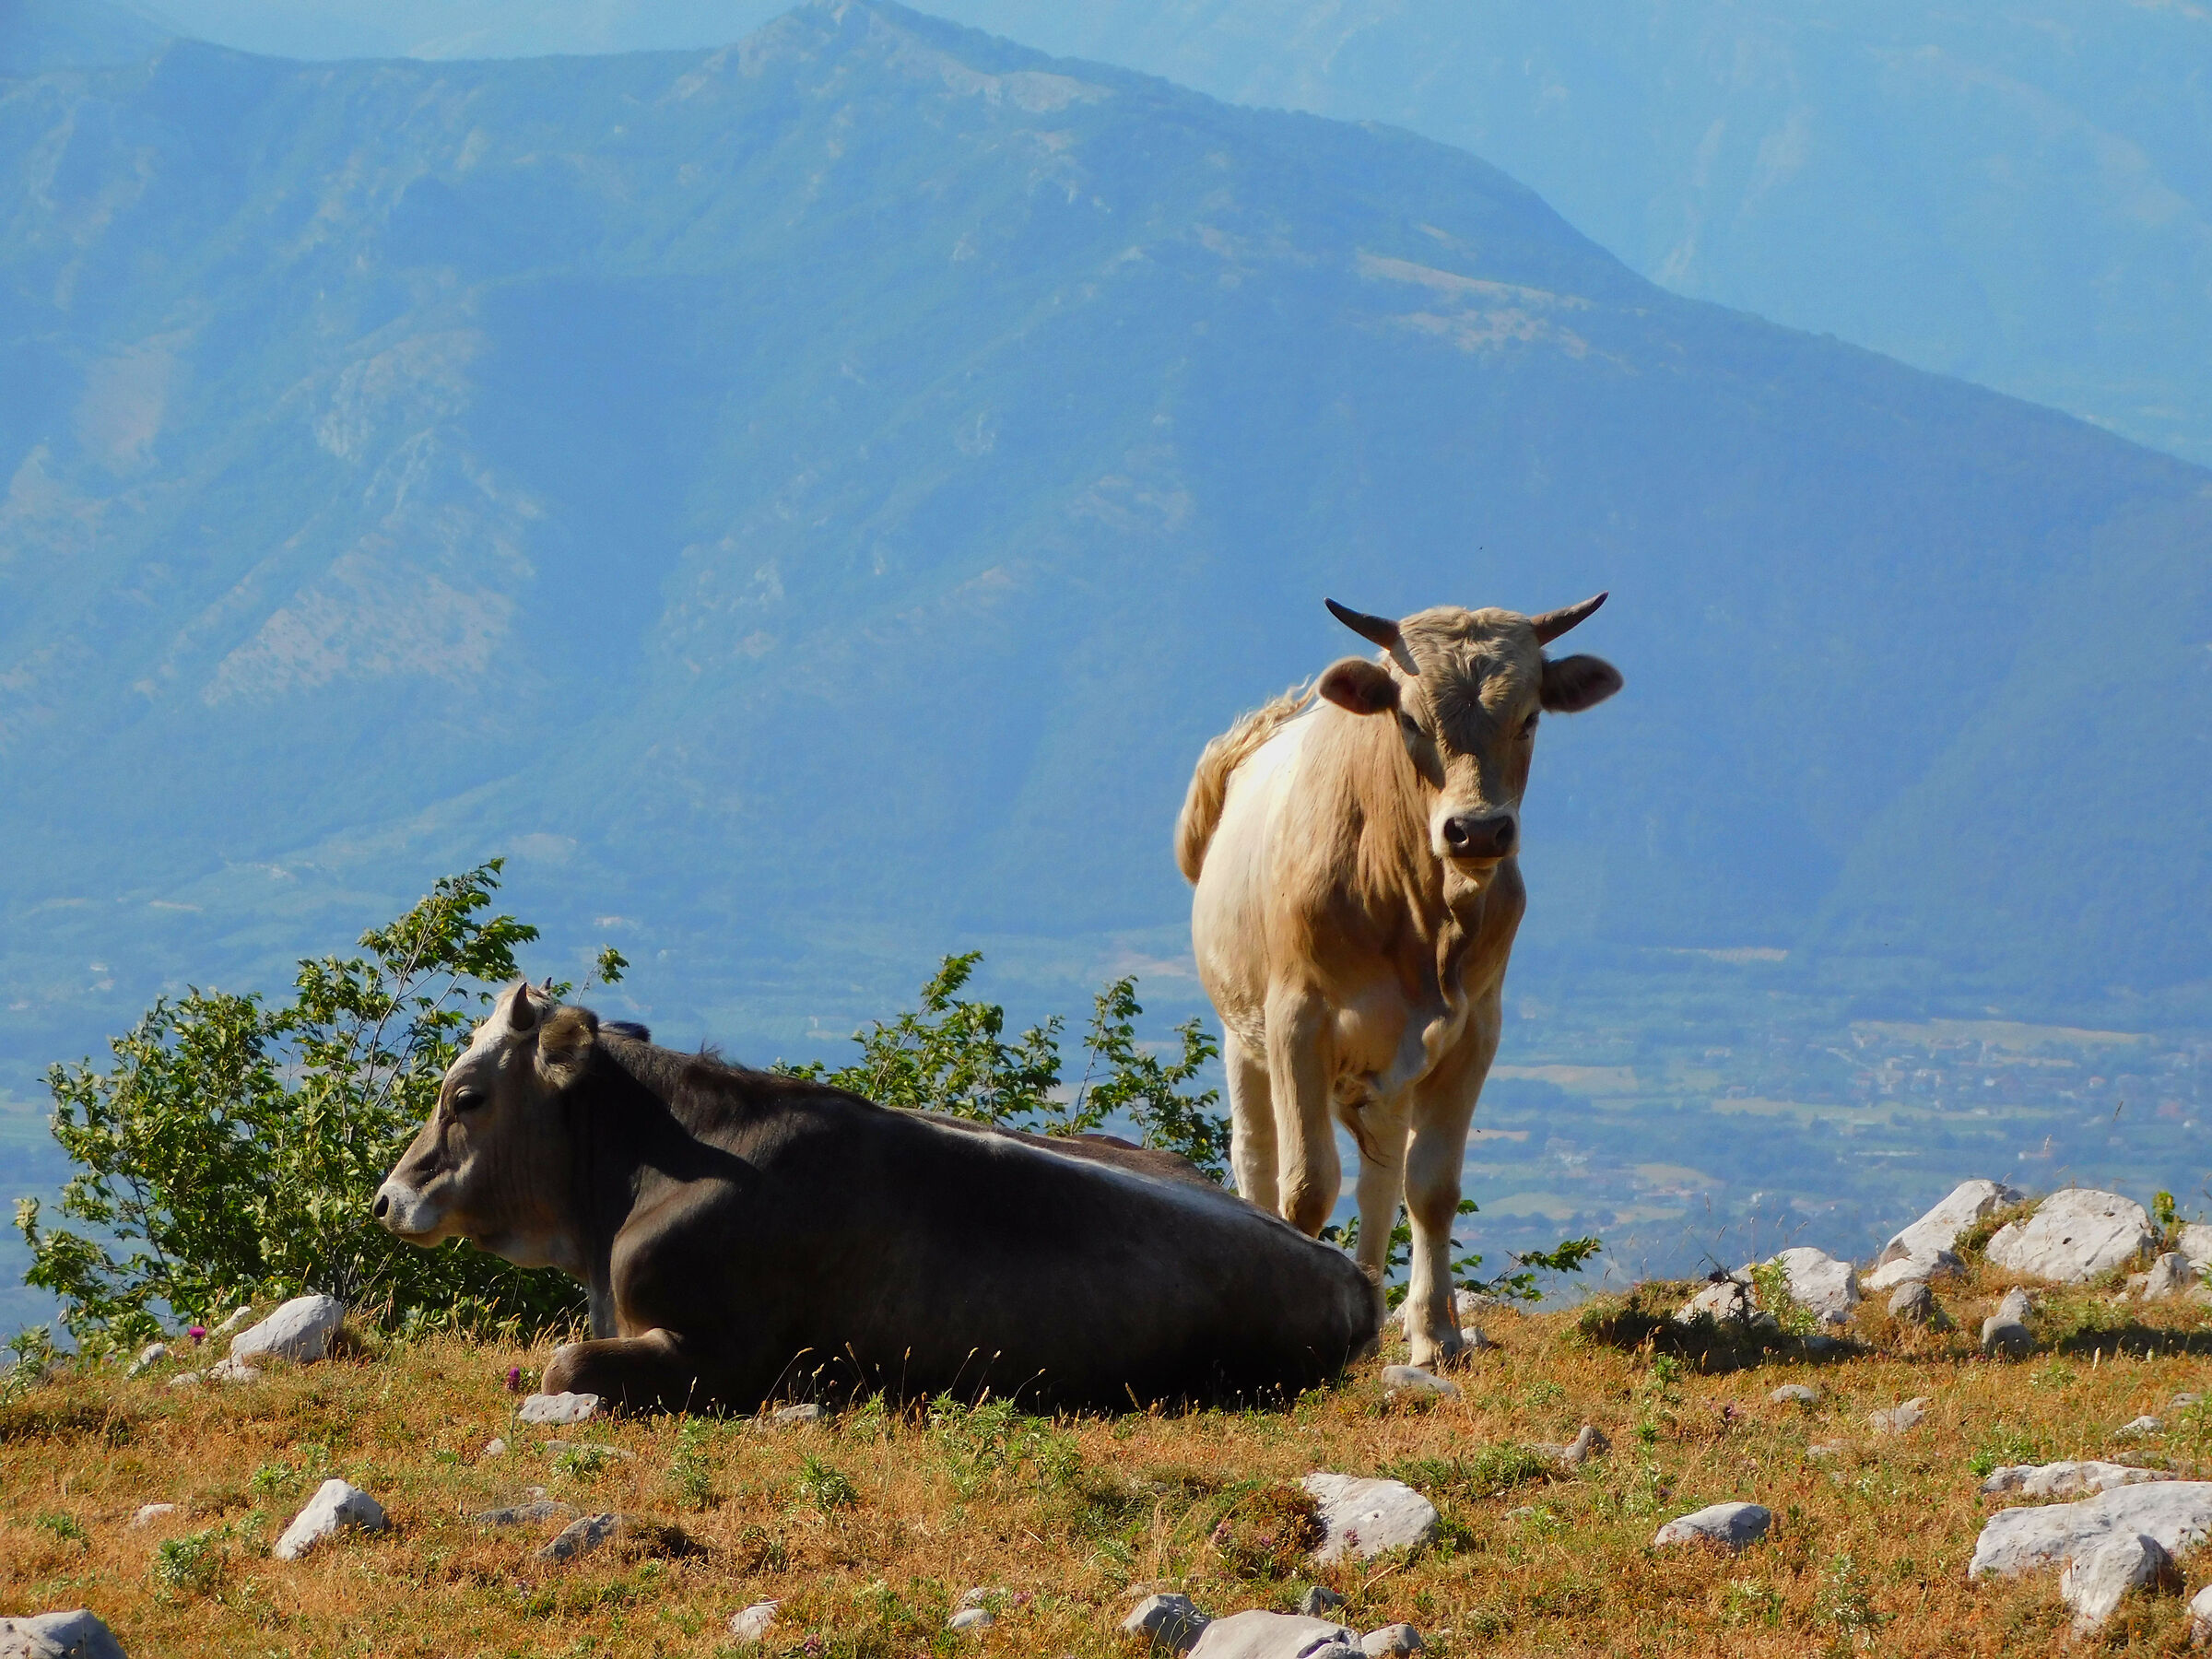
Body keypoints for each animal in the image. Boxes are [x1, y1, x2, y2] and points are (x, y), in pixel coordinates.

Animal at [1175, 594, 1621, 1369]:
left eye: (1529, 716)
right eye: (1409, 719)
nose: (1478, 831)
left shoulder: (1473, 1031)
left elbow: (1431, 1188)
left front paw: (1435, 1334)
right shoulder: (1297, 1020)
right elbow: (1305, 1187)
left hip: (1387, 1070)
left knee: (1380, 1182)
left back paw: (1375, 1304)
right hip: (1244, 1033)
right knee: (1257, 1158)